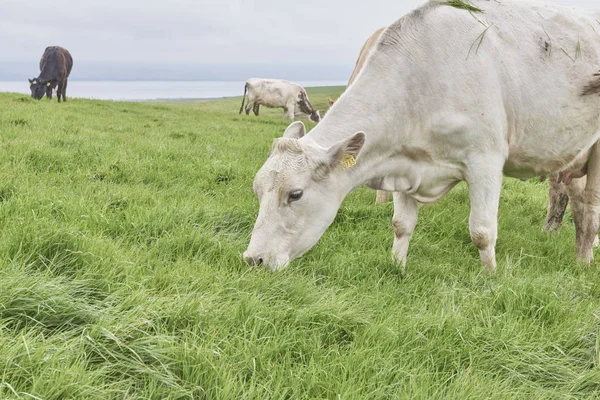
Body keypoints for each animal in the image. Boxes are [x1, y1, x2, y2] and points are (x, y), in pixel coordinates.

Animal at [241, 0, 600, 272]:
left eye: (295, 194)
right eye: (257, 190)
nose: (253, 259)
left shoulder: (485, 160)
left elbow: (482, 231)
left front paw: (491, 277)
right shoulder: (404, 162)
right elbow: (401, 225)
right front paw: (397, 266)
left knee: (591, 210)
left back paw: (584, 261)